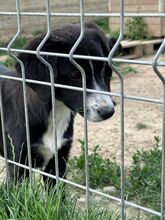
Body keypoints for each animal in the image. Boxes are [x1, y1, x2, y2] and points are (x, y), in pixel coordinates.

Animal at [0, 22, 117, 187]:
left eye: (103, 70)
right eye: (74, 74)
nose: (108, 111)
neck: (56, 111)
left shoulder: (59, 161)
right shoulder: (18, 164)